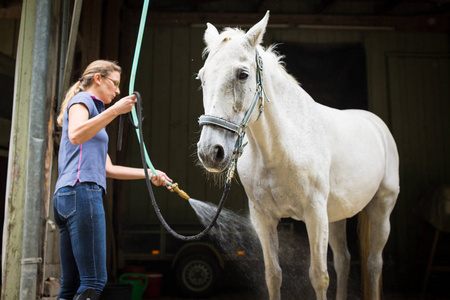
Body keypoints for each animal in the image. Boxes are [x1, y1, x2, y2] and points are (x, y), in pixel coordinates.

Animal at [195, 11, 400, 300]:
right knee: (344, 260)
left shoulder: (315, 215)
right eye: (202, 78)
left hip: (381, 207)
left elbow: (319, 276)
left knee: (374, 263)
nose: (210, 152)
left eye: (243, 74)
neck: (279, 151)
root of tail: (377, 125)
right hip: (337, 216)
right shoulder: (264, 219)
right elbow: (273, 275)